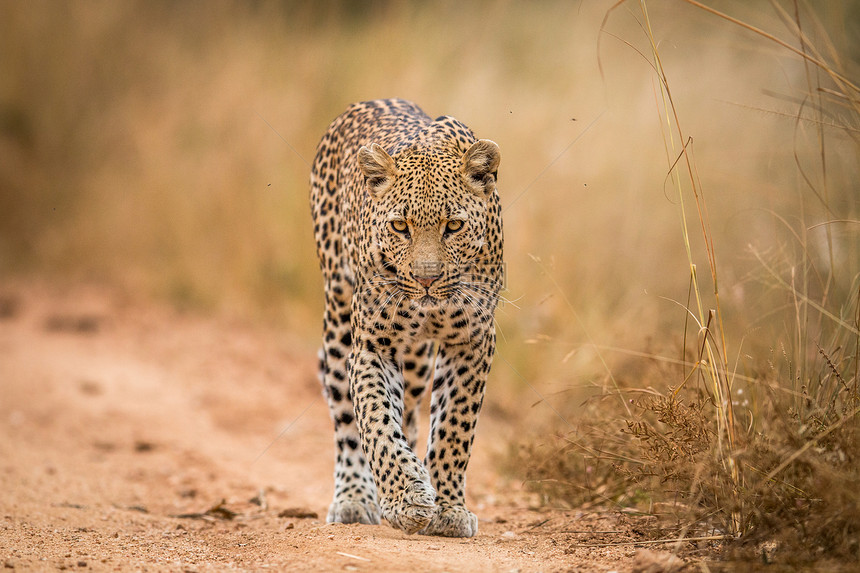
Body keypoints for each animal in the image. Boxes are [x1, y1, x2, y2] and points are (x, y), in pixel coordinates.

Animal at [310, 98, 500, 536]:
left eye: (454, 225)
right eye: (400, 225)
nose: (426, 279)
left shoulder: (472, 341)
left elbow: (453, 427)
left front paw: (448, 509)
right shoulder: (373, 346)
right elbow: (377, 421)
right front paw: (406, 499)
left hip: (416, 361)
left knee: (412, 412)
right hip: (338, 322)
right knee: (346, 418)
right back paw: (355, 499)